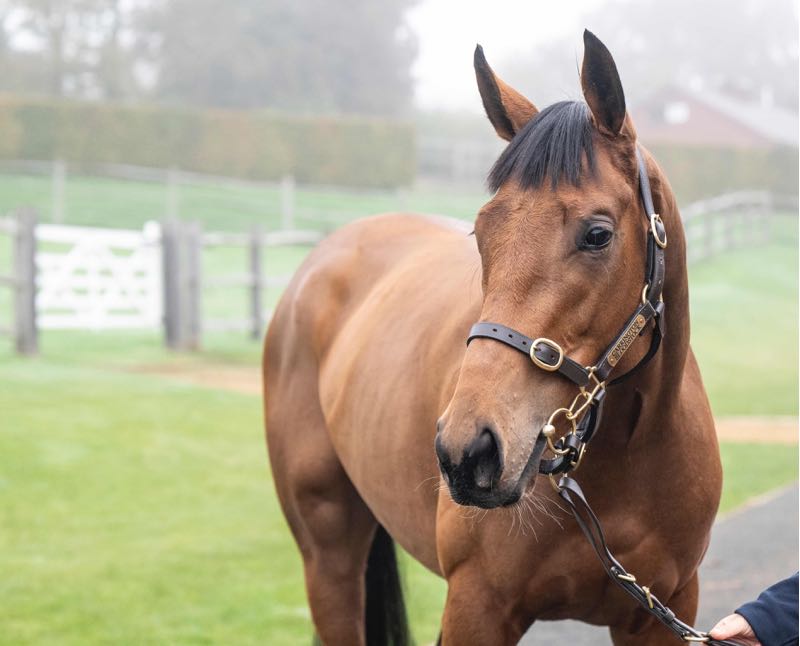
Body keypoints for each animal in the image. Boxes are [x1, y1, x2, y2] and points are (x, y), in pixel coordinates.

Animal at [264, 30, 722, 645]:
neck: (625, 464)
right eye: (482, 233)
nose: (467, 450)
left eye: (597, 234)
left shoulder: (663, 611)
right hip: (329, 559)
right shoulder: (476, 606)